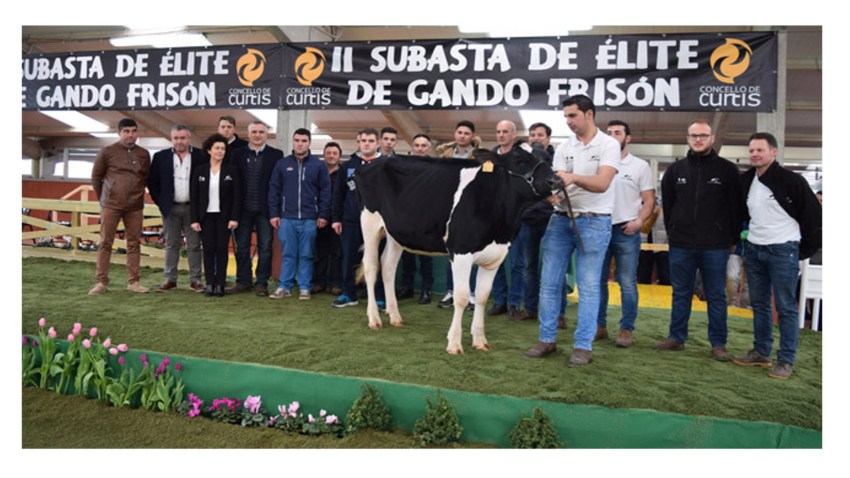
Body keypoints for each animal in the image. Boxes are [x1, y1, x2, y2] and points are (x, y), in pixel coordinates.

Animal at [354, 144, 552, 352]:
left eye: (547, 158)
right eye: (519, 161)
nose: (555, 180)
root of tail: (373, 162)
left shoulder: (495, 256)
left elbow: (481, 297)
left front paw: (480, 341)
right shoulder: (461, 251)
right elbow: (462, 296)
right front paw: (455, 343)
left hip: (395, 233)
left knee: (388, 267)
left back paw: (395, 317)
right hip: (369, 222)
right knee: (371, 267)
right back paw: (374, 319)